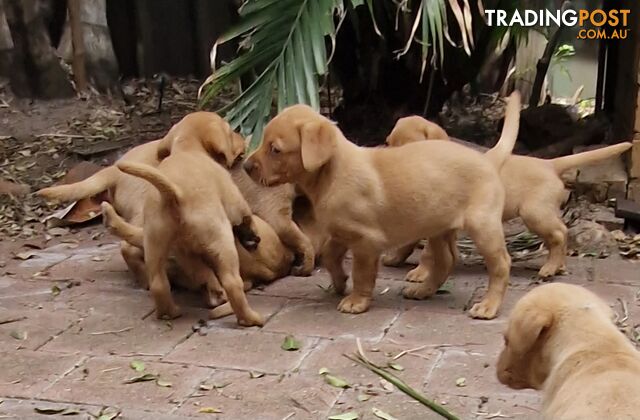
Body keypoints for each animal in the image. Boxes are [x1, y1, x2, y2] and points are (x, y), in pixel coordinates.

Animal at [242, 90, 524, 316]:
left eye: (275, 149)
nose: (244, 166)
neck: (332, 174)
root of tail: (486, 159)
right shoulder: (342, 232)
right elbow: (332, 257)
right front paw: (340, 282)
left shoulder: (366, 241)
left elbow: (362, 273)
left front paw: (356, 301)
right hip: (439, 227)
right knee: (446, 260)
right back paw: (423, 291)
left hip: (482, 226)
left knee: (501, 265)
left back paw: (488, 306)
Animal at [384, 113, 632, 278]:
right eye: (388, 144)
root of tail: (549, 164)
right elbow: (410, 242)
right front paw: (396, 259)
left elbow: (428, 251)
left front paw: (420, 273)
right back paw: (558, 265)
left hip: (535, 213)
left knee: (560, 233)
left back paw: (550, 268)